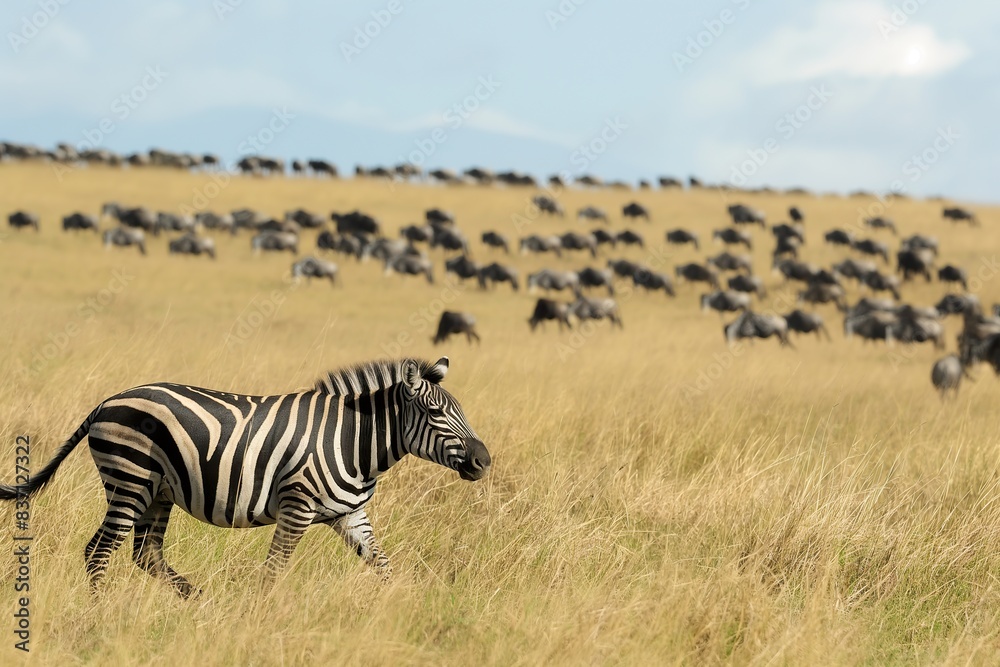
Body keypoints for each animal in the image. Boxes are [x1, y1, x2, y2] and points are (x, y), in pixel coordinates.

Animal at [0, 357, 490, 598]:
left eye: (460, 411)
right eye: (435, 413)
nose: (484, 461)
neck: (354, 442)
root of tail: (107, 401)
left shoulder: (351, 515)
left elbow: (383, 566)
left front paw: (401, 607)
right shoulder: (297, 506)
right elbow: (273, 571)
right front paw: (258, 616)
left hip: (158, 491)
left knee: (145, 554)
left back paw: (196, 599)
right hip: (130, 480)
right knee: (98, 552)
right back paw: (98, 616)